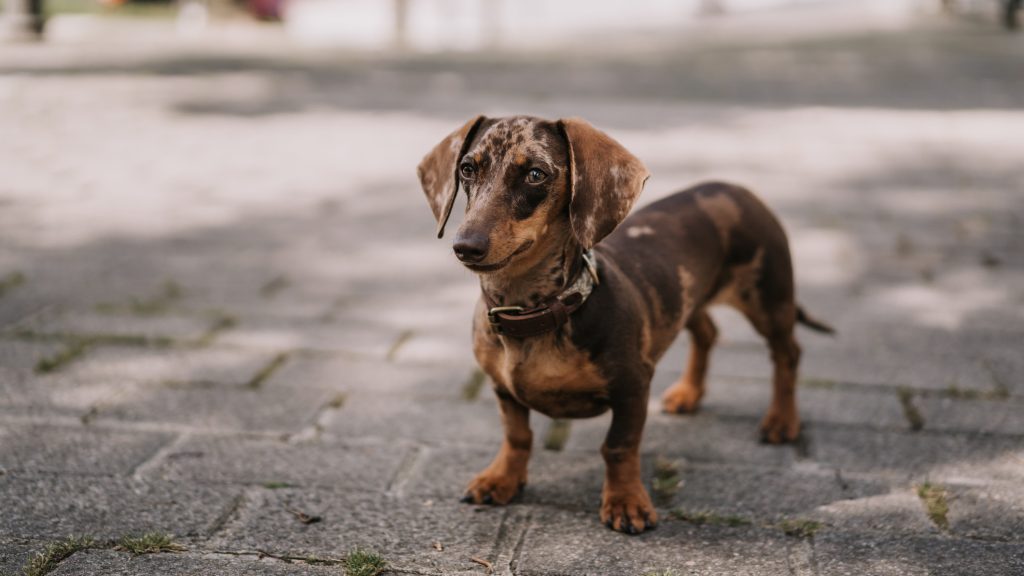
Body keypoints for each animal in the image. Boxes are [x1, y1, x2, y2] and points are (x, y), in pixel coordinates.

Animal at [413, 115, 831, 532]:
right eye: (467, 168)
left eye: (535, 174)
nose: (466, 246)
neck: (530, 313)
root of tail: (734, 187)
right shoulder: (502, 388)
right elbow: (517, 436)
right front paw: (501, 479)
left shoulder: (633, 385)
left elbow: (618, 446)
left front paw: (626, 502)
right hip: (686, 299)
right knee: (708, 333)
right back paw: (688, 393)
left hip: (769, 299)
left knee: (788, 353)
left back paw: (781, 420)